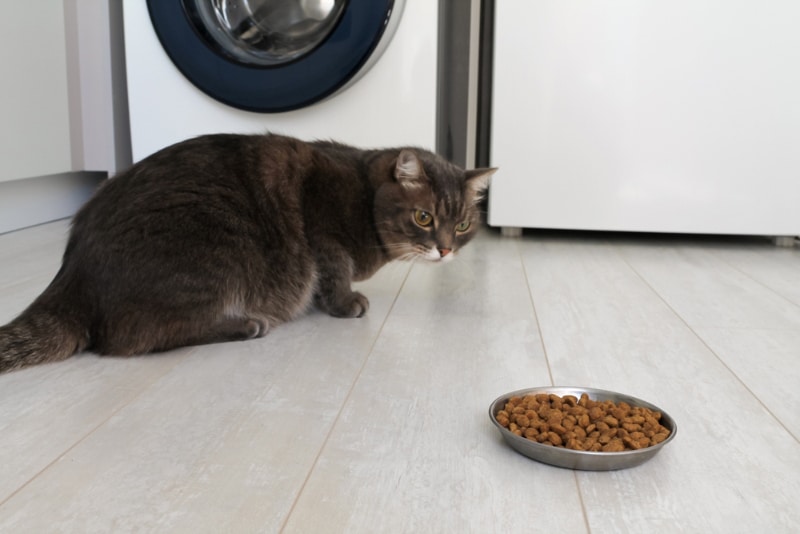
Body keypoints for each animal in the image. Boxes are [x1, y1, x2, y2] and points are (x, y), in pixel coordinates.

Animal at [0, 134, 494, 374]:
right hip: (218, 246)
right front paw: (344, 303)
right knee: (130, 337)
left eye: (462, 225)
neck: (363, 190)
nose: (445, 249)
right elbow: (334, 271)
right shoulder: (322, 228)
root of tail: (71, 276)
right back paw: (244, 324)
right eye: (424, 218)